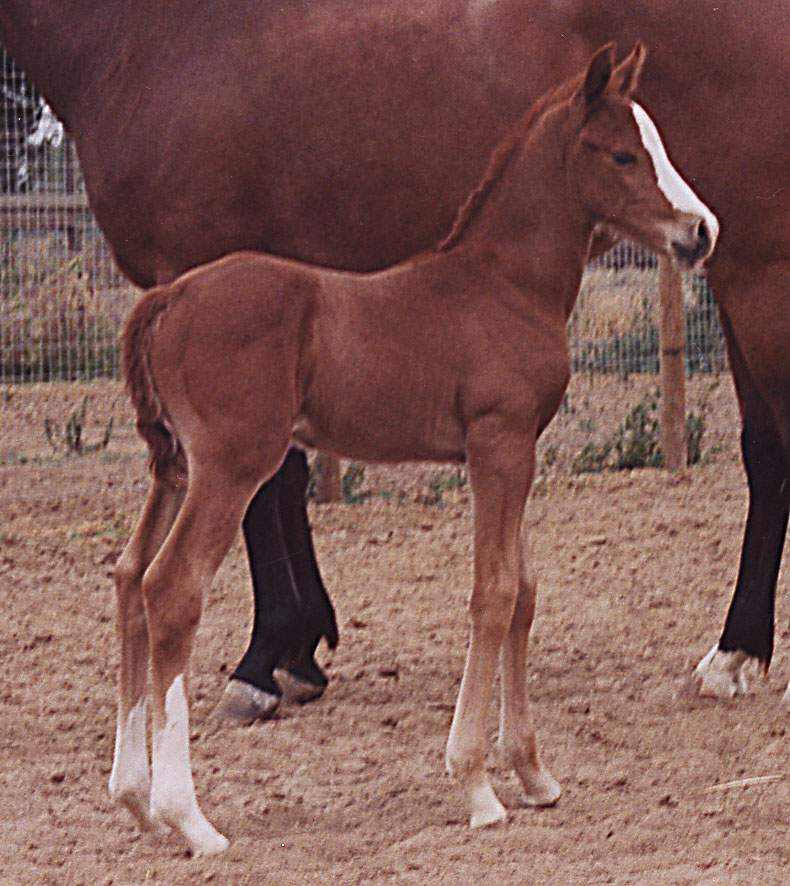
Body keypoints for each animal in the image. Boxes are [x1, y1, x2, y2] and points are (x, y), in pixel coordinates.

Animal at [112, 44, 717, 857]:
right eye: (622, 153)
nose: (700, 230)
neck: (504, 284)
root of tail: (169, 296)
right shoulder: (499, 445)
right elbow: (493, 594)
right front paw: (477, 786)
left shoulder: (514, 453)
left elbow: (524, 594)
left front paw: (535, 775)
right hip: (231, 466)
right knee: (171, 589)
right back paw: (191, 819)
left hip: (175, 466)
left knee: (128, 578)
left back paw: (137, 801)